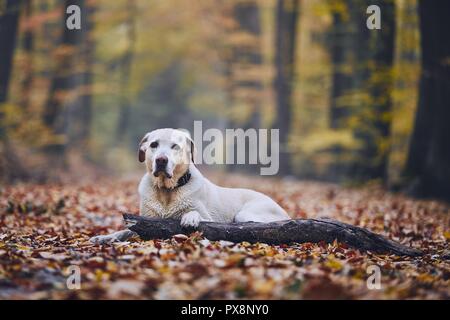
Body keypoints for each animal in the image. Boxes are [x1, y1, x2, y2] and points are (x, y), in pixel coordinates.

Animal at [89, 127, 290, 242]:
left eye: (175, 146)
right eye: (153, 144)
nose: (161, 160)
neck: (167, 191)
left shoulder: (210, 218)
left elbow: (195, 214)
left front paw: (190, 217)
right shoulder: (144, 220)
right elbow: (126, 231)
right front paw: (103, 238)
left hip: (246, 214)